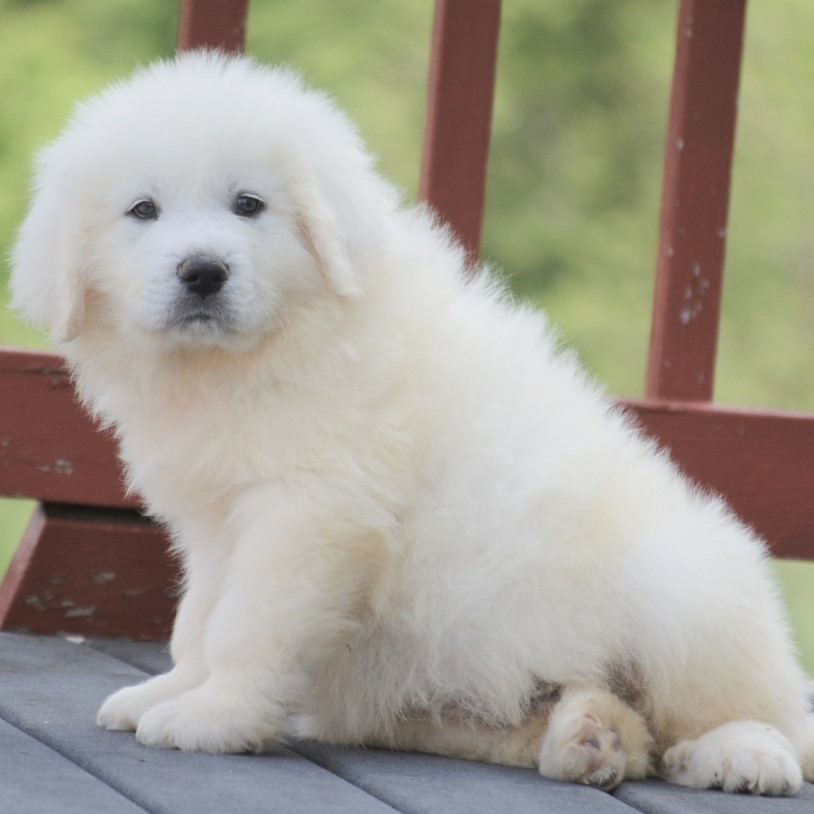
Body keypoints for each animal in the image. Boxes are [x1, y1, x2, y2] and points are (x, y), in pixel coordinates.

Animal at [7, 52, 814, 796]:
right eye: (142, 211)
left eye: (248, 204)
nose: (202, 271)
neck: (258, 352)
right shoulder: (216, 521)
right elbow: (198, 619)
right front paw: (170, 689)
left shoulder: (306, 515)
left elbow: (246, 625)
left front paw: (213, 717)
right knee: (609, 727)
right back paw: (587, 734)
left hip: (685, 594)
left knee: (740, 715)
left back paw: (740, 755)